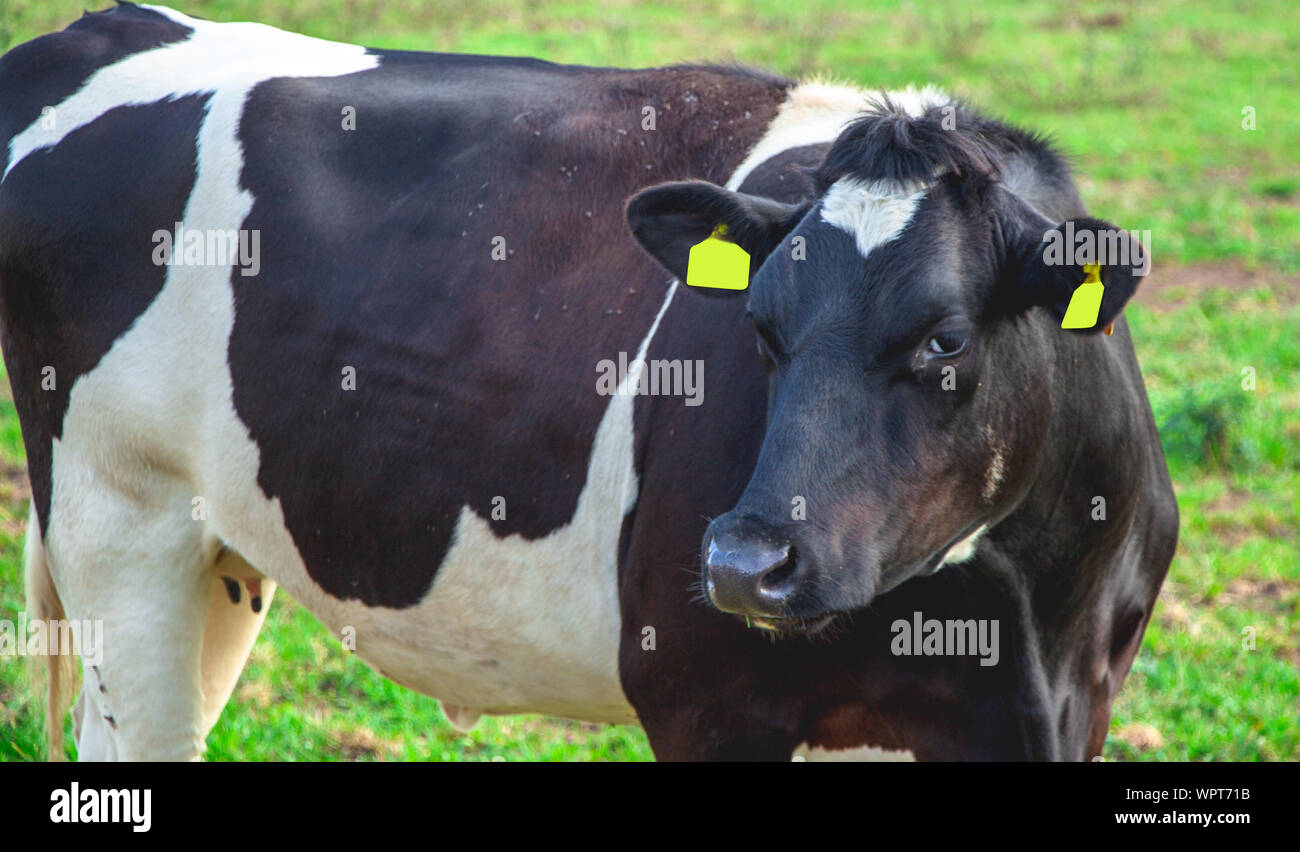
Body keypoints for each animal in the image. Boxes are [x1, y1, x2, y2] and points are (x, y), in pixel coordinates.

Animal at [1, 3, 1177, 761]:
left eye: (943, 341)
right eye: (759, 328)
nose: (744, 563)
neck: (1016, 626)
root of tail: (103, 26)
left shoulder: (1066, 708)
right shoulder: (706, 698)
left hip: (219, 553)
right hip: (117, 520)